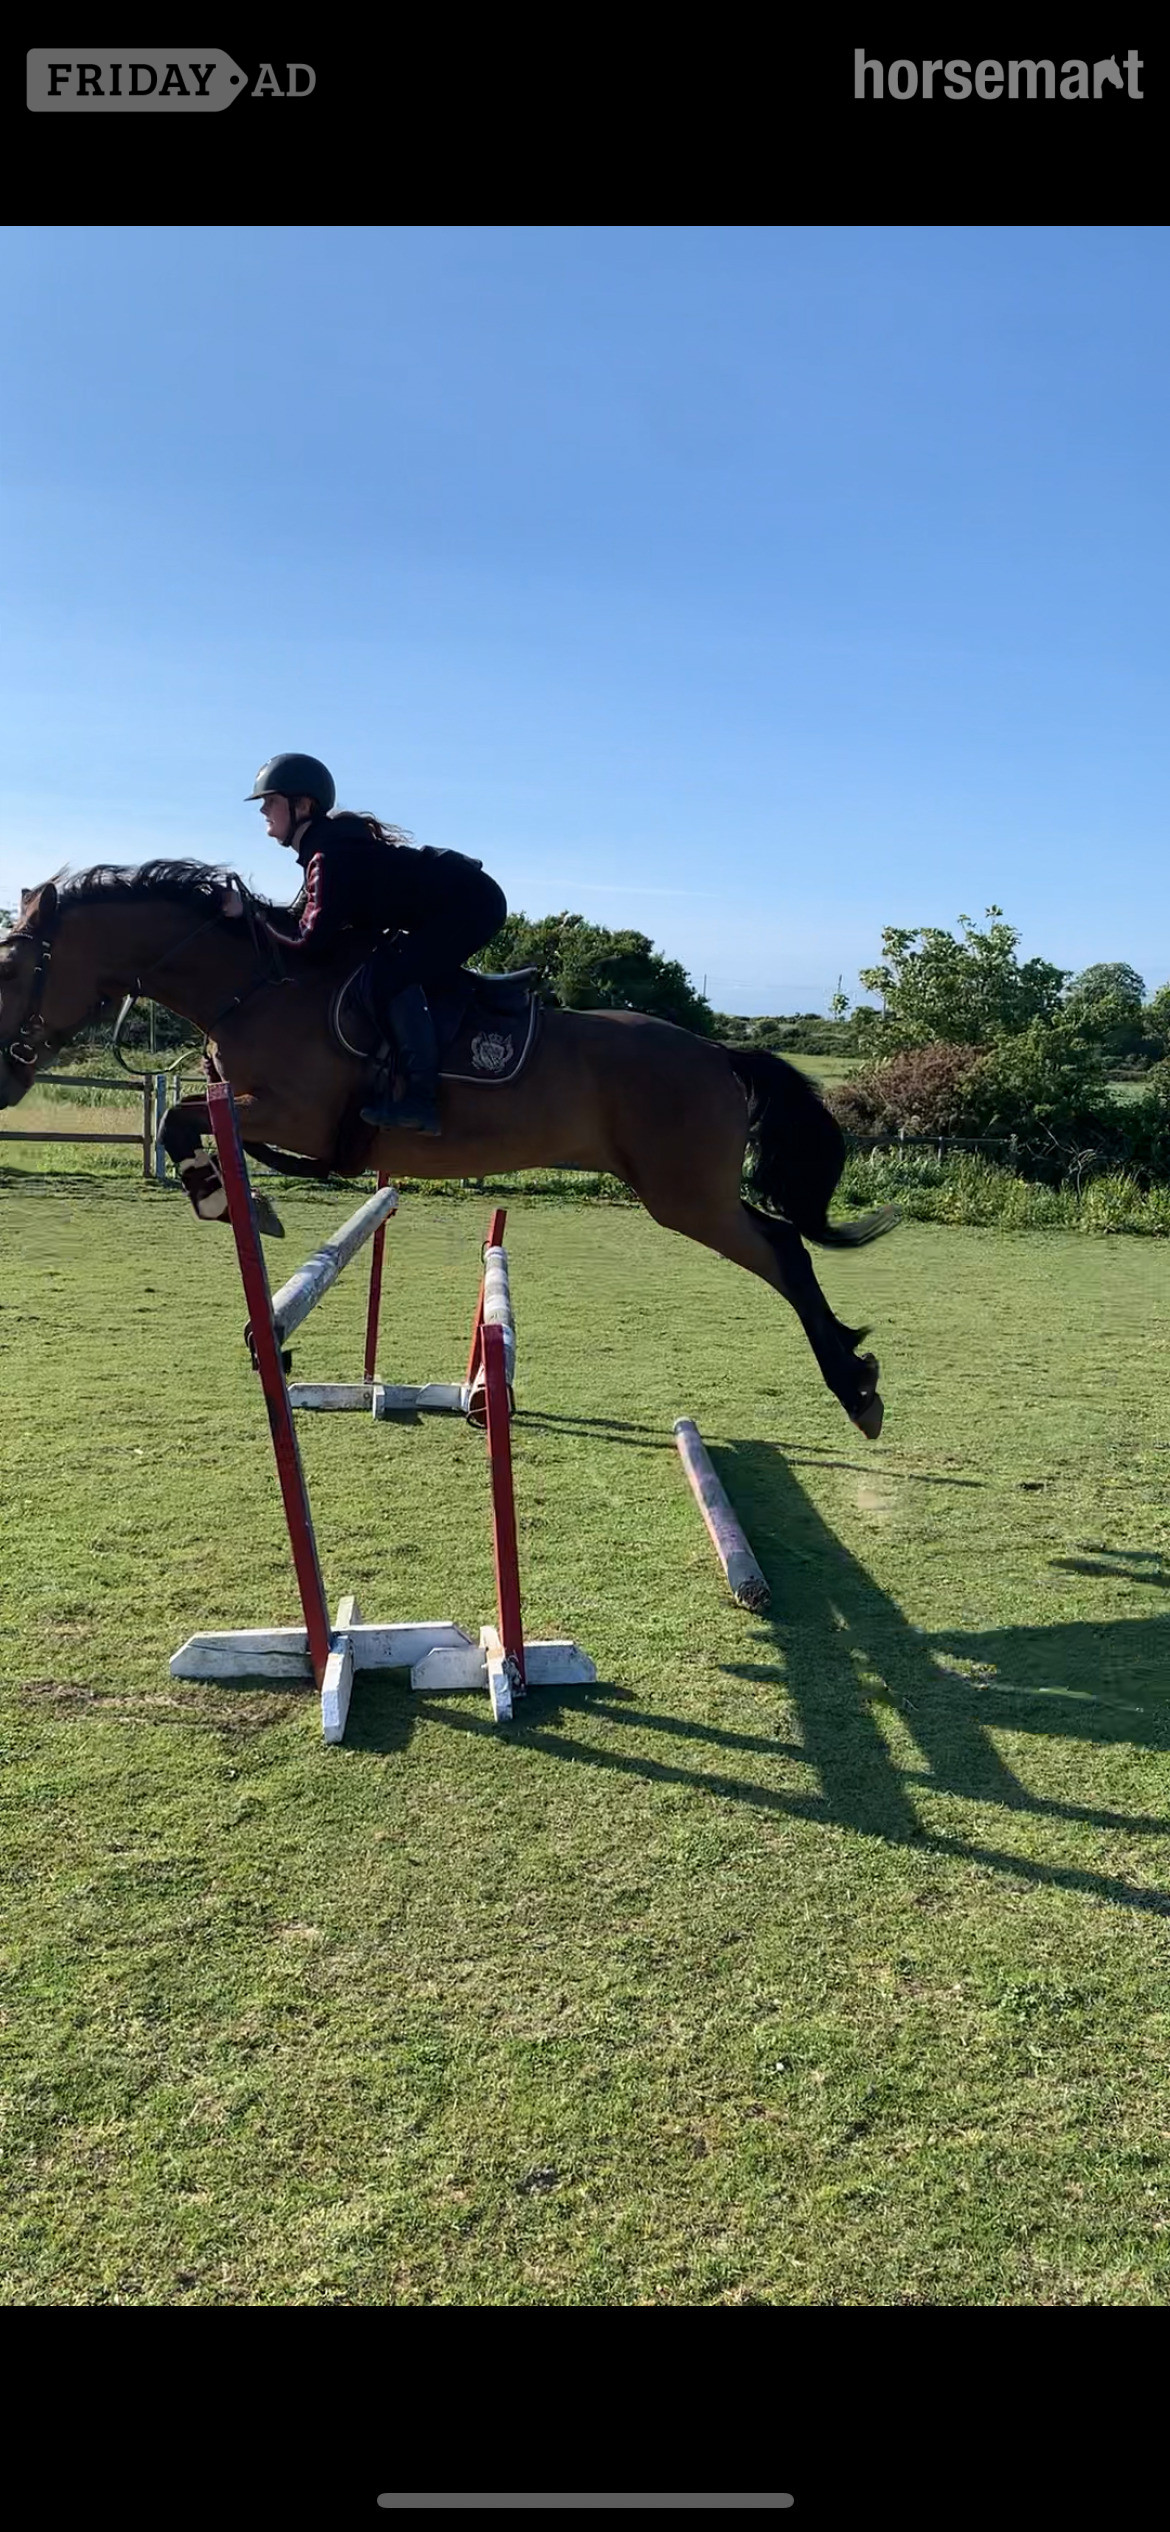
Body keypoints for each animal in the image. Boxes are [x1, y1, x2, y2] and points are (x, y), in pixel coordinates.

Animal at [0, 861, 898, 1436]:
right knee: (782, 1243)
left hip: (685, 1196)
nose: (5, 1079)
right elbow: (183, 1124)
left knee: (783, 1248)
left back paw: (855, 1387)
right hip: (690, 1192)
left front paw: (226, 1197)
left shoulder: (293, 1114)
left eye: (12, 969)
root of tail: (716, 1051)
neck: (253, 986)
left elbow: (179, 1123)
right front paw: (241, 1209)